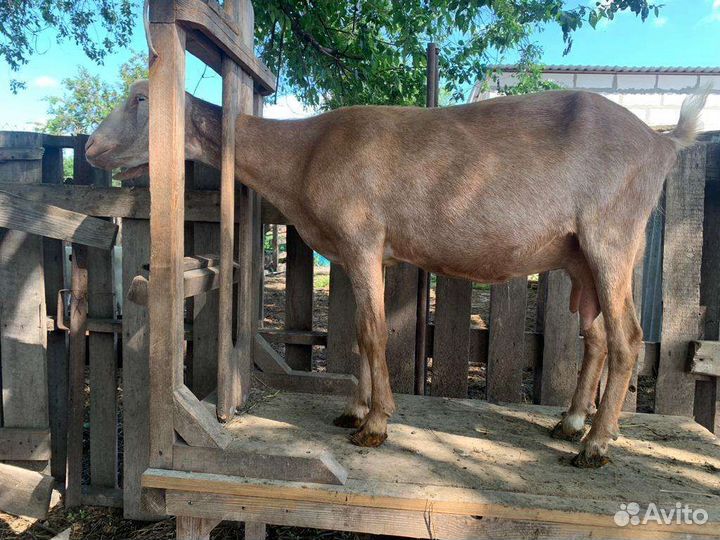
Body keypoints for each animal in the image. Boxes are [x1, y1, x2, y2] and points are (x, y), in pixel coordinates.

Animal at [86, 80, 708, 467]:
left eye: (140, 96)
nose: (90, 148)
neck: (305, 153)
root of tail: (661, 142)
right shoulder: (363, 254)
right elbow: (363, 335)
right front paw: (355, 409)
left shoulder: (361, 238)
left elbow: (370, 332)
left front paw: (376, 425)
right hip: (580, 256)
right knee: (596, 335)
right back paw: (573, 421)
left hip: (612, 235)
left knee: (628, 338)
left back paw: (596, 446)